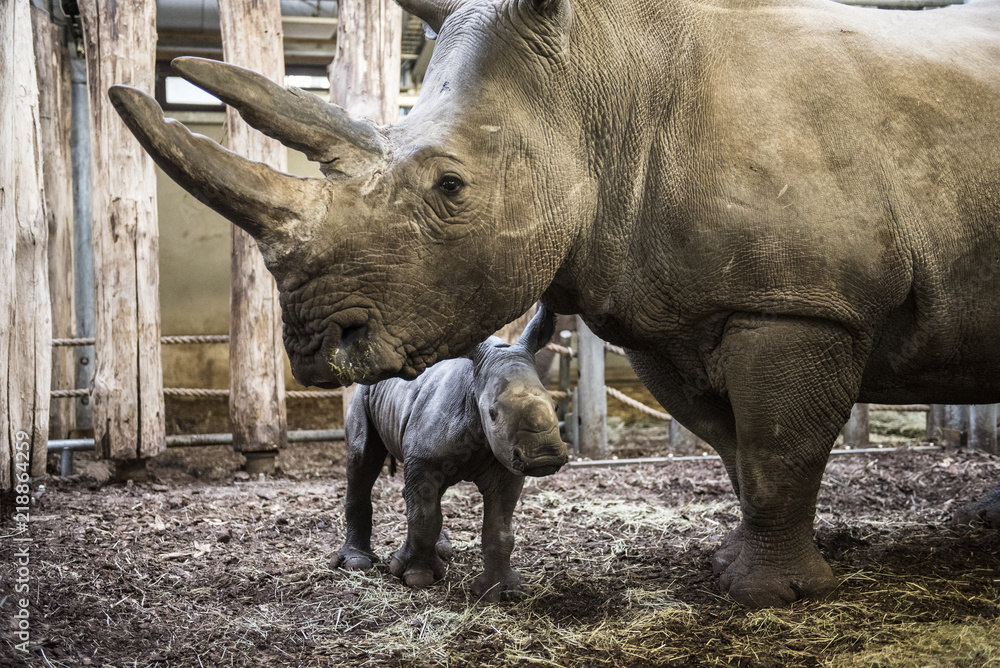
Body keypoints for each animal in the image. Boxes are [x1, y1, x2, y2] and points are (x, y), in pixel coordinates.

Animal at [336, 304, 566, 599]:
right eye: (492, 414)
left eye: (556, 406)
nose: (544, 457)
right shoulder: (425, 458)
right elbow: (424, 519)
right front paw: (416, 577)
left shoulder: (507, 465)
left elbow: (499, 529)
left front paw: (500, 590)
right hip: (363, 393)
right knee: (362, 463)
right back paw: (357, 562)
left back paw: (442, 550)